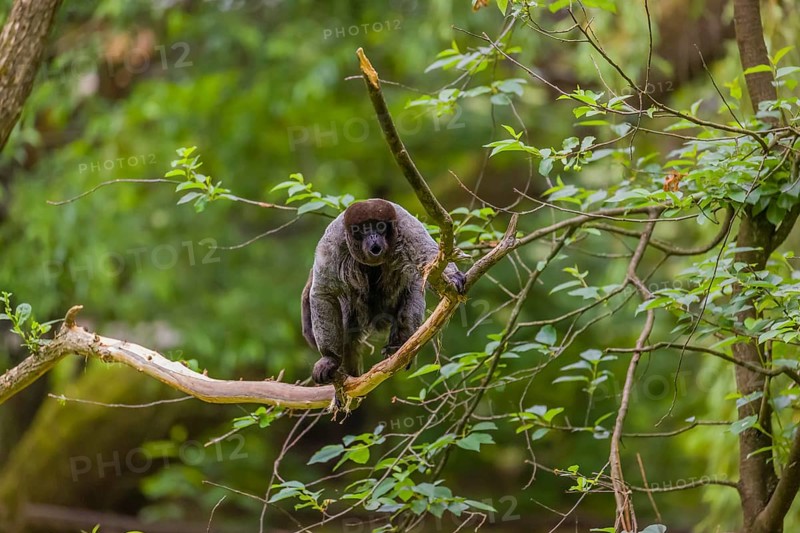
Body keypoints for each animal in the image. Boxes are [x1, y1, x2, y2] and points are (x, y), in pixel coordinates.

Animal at [302, 198, 466, 385]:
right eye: (363, 229)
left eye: (380, 226)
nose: (373, 236)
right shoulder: (333, 242)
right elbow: (323, 293)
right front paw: (330, 358)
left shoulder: (406, 226)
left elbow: (429, 256)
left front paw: (453, 277)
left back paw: (398, 346)